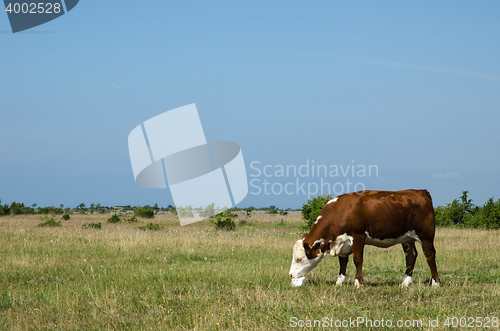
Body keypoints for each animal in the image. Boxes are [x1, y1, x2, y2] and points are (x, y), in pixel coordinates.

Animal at [288, 189, 440, 288]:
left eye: (299, 258)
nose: (290, 275)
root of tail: (421, 191)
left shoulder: (358, 237)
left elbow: (357, 260)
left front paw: (358, 283)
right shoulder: (342, 243)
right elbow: (342, 263)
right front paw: (339, 282)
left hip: (426, 236)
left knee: (430, 256)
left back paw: (435, 282)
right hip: (407, 239)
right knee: (411, 256)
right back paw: (405, 283)